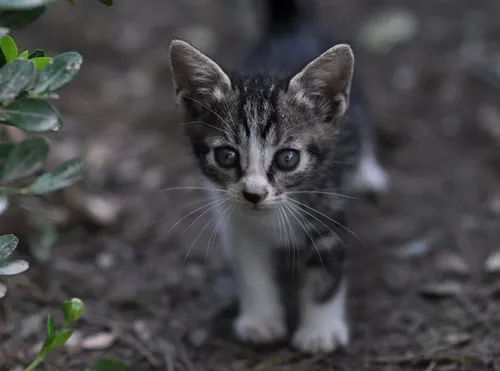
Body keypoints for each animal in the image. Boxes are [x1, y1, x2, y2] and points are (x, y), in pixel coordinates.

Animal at [168, 0, 386, 354]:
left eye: (287, 158)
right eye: (227, 156)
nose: (254, 193)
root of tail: (289, 27)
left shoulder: (330, 211)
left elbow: (325, 277)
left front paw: (320, 331)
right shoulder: (238, 224)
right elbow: (252, 273)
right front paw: (261, 320)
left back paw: (368, 172)